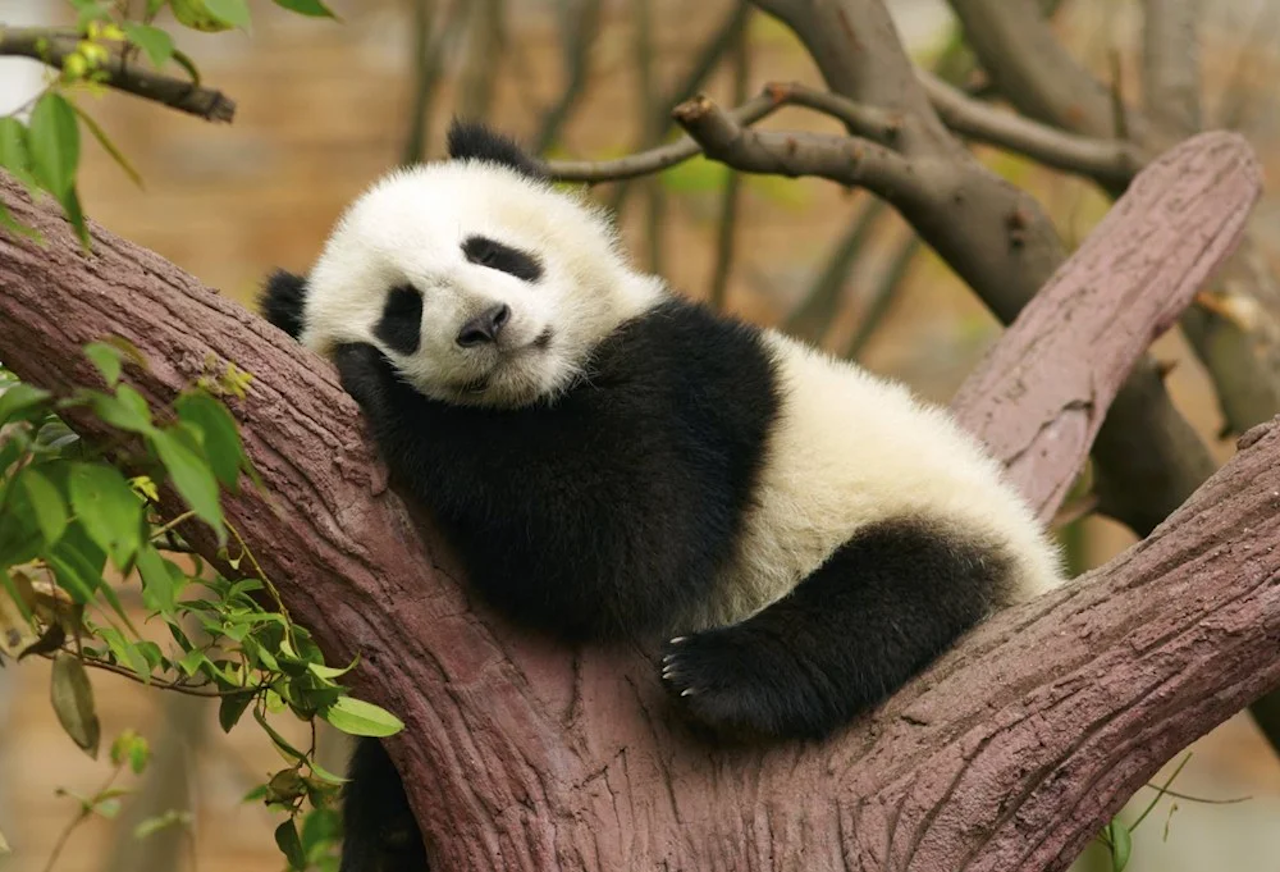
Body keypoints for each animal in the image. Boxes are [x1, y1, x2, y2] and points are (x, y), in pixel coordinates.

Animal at [260, 121, 1063, 872]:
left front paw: (384, 389)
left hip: (931, 513)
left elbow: (626, 544)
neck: (540, 388)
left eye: (491, 253)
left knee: (887, 596)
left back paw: (718, 675)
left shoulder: (684, 381)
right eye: (403, 309)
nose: (486, 323)